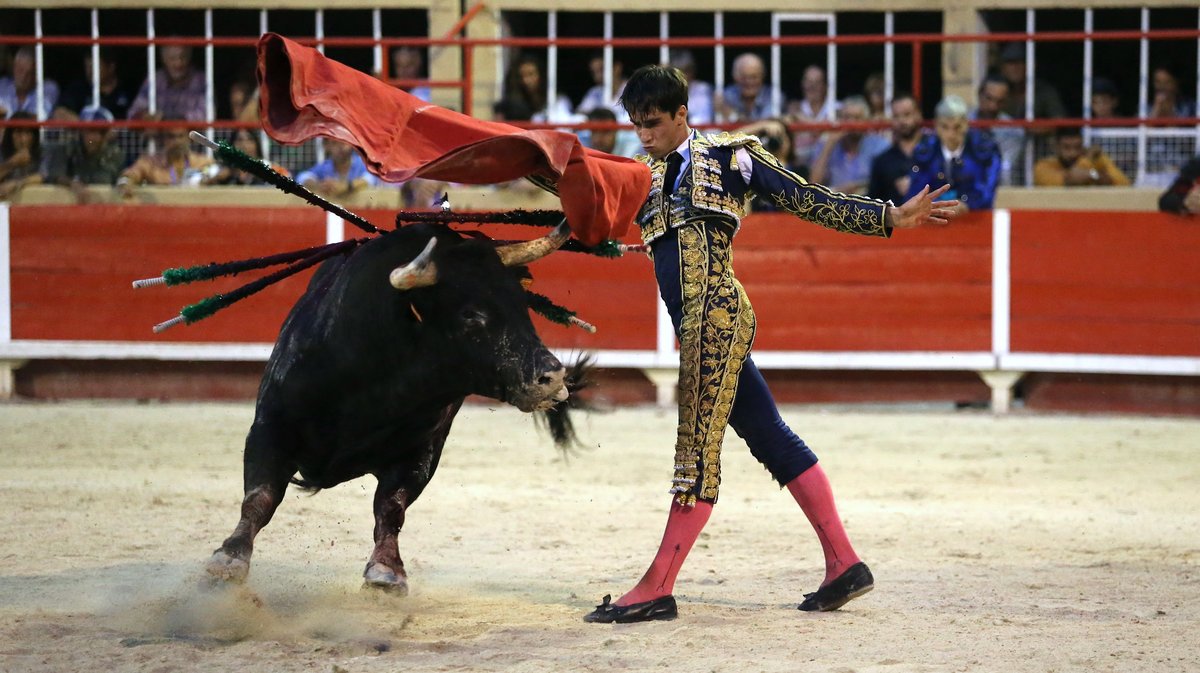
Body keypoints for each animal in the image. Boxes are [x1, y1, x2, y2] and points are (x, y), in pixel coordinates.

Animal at [210, 223, 585, 590]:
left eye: (522, 305)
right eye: (471, 315)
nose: (552, 376)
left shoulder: (421, 452)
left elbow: (391, 507)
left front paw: (386, 570)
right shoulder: (270, 427)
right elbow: (260, 496)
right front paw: (229, 557)